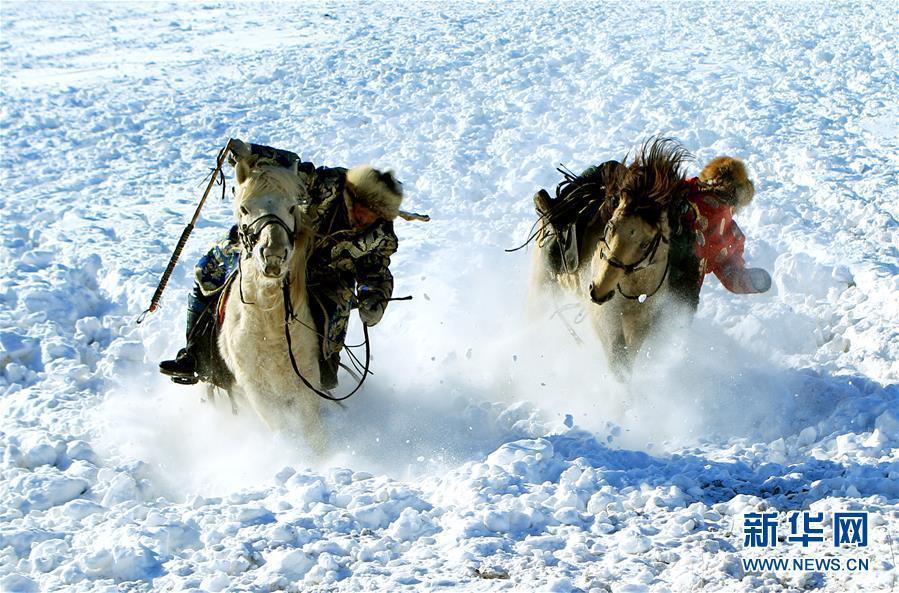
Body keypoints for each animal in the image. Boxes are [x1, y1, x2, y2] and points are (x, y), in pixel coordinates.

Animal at [214, 141, 326, 450]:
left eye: (291, 206)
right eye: (244, 208)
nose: (274, 255)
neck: (269, 327)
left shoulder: (307, 385)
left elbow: (315, 436)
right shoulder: (258, 393)